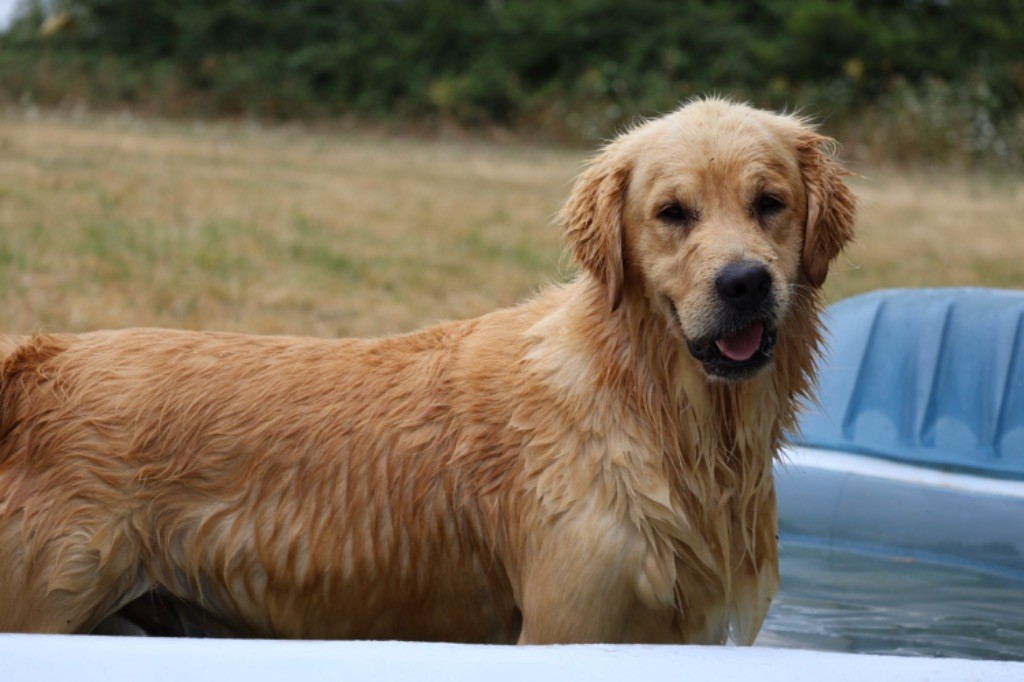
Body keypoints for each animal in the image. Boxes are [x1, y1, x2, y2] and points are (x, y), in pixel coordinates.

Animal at [0, 96, 856, 643]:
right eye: (672, 213)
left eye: (769, 202)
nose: (744, 283)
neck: (653, 409)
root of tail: (41, 357)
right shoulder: (572, 621)